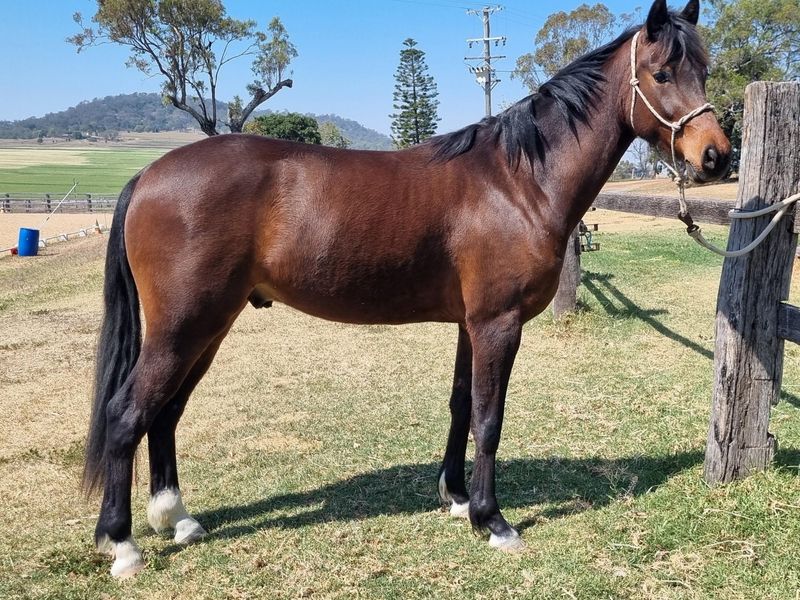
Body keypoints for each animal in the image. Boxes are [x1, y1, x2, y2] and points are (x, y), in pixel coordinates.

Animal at [83, 0, 730, 577]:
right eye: (662, 73)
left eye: (704, 69)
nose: (716, 157)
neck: (517, 180)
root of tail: (147, 176)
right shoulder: (498, 323)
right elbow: (489, 418)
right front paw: (494, 521)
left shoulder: (472, 324)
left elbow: (462, 406)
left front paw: (458, 498)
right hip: (184, 325)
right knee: (126, 414)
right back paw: (122, 545)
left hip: (209, 325)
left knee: (165, 413)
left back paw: (176, 518)